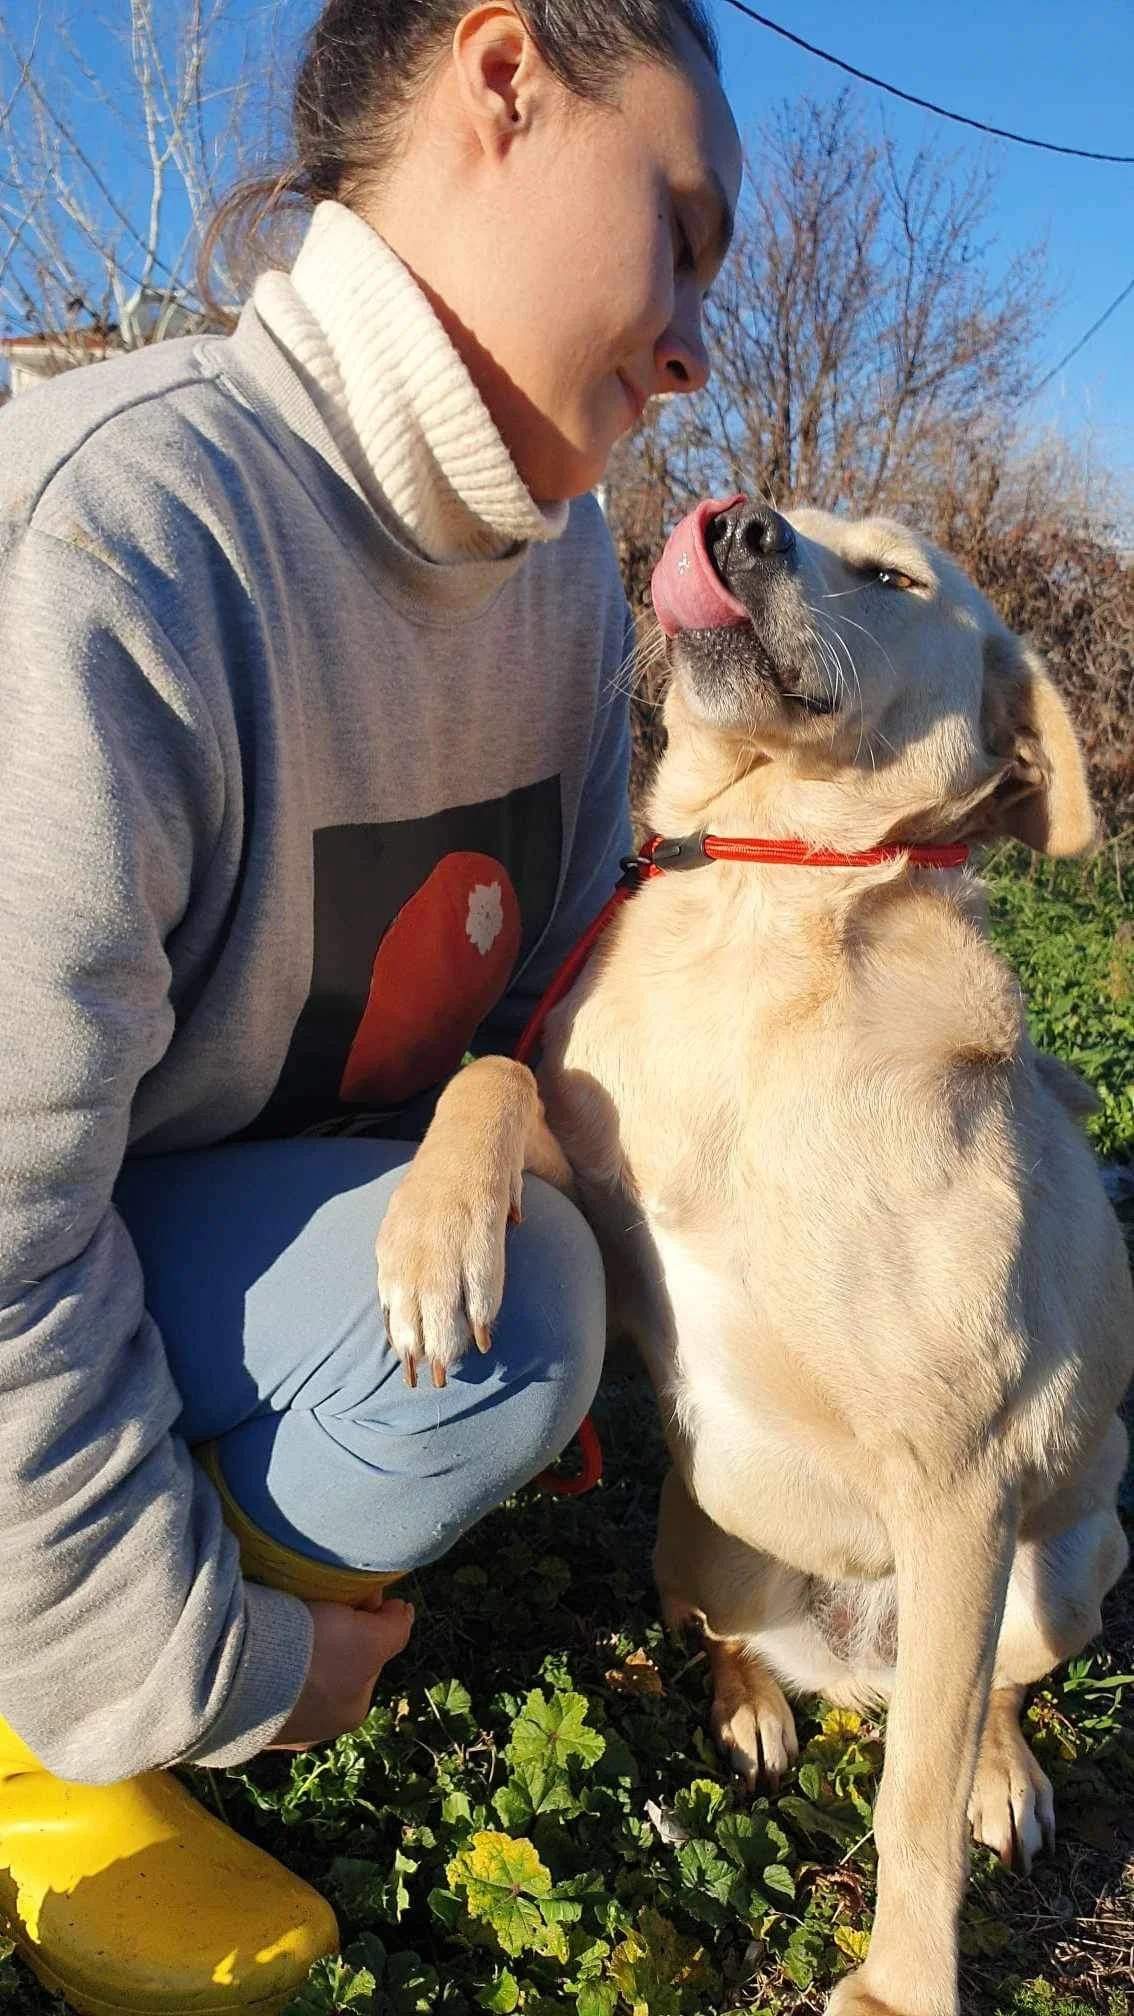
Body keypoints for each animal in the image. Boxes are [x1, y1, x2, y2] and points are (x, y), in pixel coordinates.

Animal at [376, 499, 1133, 2016]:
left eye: (892, 575)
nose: (734, 524)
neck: (758, 911)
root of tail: (853, 1661)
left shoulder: (963, 1484)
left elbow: (911, 1803)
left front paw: (903, 1987)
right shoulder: (606, 1199)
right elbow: (494, 1068)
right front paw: (436, 1240)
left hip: (1061, 1570)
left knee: (975, 1703)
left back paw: (1002, 1773)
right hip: (710, 1534)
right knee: (730, 1635)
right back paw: (753, 1710)